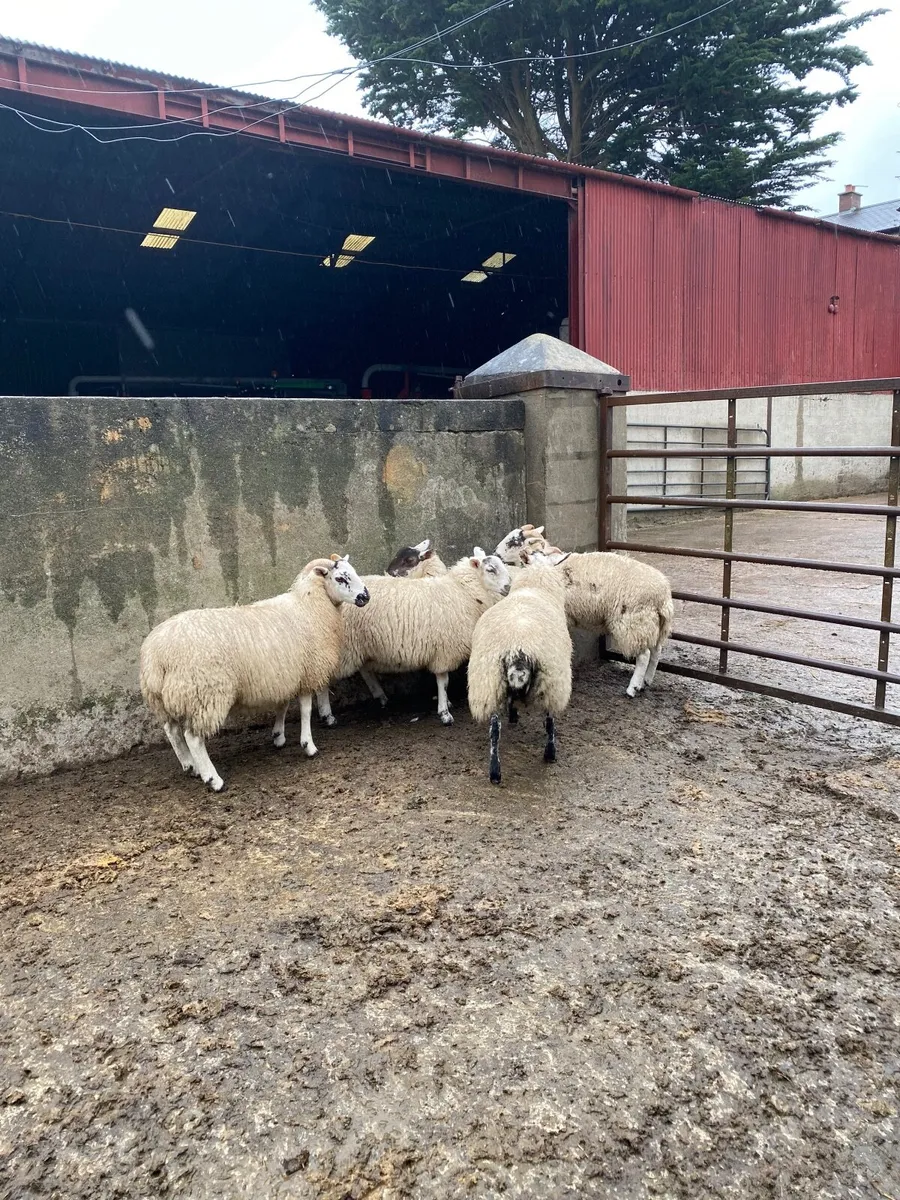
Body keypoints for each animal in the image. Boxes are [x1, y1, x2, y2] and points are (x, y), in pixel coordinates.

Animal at [139, 554, 370, 792]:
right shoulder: (307, 672)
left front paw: (278, 736)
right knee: (193, 738)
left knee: (172, 731)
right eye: (340, 578)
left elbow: (282, 705)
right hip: (205, 694)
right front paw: (308, 745)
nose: (365, 597)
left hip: (165, 699)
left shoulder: (284, 675)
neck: (309, 605)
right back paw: (213, 779)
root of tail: (156, 655)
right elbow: (305, 710)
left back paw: (190, 766)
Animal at [315, 548, 512, 727]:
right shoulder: (444, 650)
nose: (509, 586)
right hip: (342, 649)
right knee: (323, 680)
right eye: (491, 569)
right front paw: (445, 713)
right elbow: (443, 682)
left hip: (360, 644)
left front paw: (446, 704)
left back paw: (381, 696)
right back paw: (328, 716)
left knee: (365, 670)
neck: (463, 591)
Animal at [467, 551, 573, 785]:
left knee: (494, 731)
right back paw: (549, 754)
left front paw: (513, 714)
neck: (534, 588)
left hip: (490, 683)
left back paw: (494, 773)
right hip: (551, 683)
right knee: (550, 720)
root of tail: (518, 647)